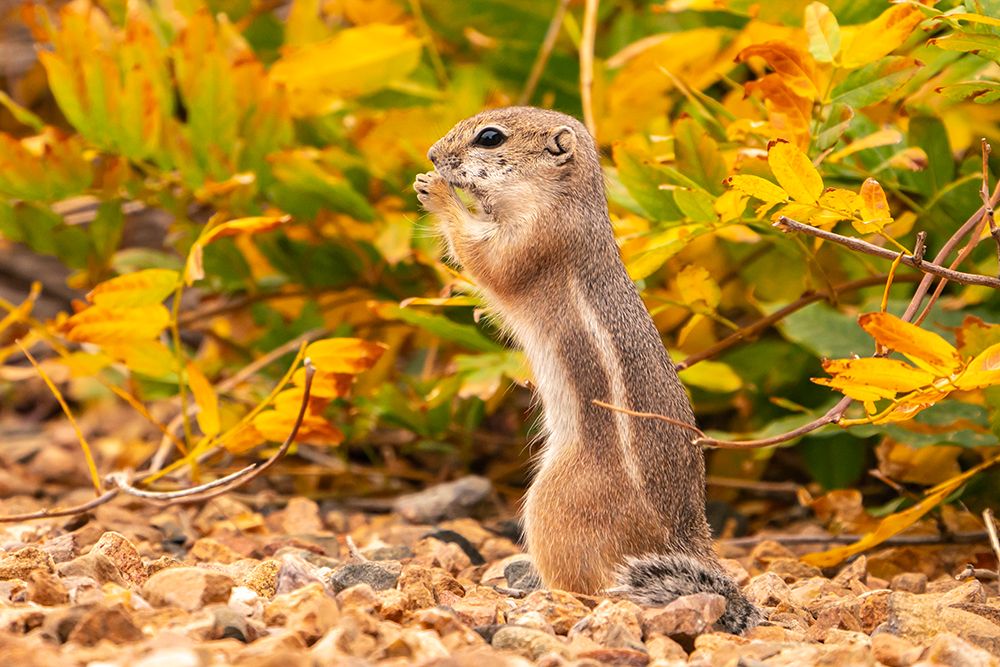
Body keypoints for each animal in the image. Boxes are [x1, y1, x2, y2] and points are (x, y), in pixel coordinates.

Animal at [414, 106, 762, 635]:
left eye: (490, 138)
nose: (433, 155)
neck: (564, 200)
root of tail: (687, 540)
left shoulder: (534, 241)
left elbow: (486, 261)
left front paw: (435, 191)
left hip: (551, 504)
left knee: (587, 586)